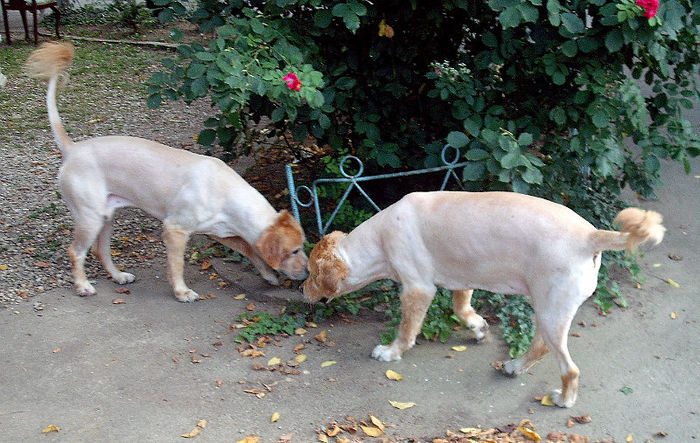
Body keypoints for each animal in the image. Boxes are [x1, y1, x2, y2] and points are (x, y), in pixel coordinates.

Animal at [27, 42, 308, 302]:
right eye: (294, 251)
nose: (307, 274)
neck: (229, 196)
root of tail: (72, 149)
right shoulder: (175, 230)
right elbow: (177, 264)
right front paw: (182, 292)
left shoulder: (219, 232)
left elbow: (250, 250)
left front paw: (269, 274)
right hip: (90, 217)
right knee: (76, 251)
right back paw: (83, 286)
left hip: (105, 216)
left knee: (100, 251)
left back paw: (118, 276)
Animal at [304, 192, 664, 410]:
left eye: (310, 272)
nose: (301, 289)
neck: (378, 239)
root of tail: (590, 235)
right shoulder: (463, 280)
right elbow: (461, 308)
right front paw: (478, 328)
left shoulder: (418, 289)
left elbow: (407, 330)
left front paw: (391, 352)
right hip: (548, 309)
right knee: (541, 346)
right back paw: (515, 366)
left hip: (550, 309)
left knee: (568, 367)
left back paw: (563, 398)